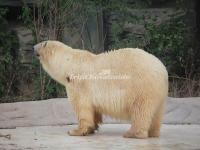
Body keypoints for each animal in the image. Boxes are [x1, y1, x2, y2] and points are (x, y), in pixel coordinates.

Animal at [33, 40, 168, 138]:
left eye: (41, 43)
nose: (33, 47)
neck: (68, 63)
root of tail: (162, 69)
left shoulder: (79, 83)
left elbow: (82, 107)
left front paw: (76, 131)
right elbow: (94, 109)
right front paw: (92, 128)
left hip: (141, 86)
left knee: (140, 110)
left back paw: (132, 133)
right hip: (158, 92)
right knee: (156, 113)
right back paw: (153, 133)